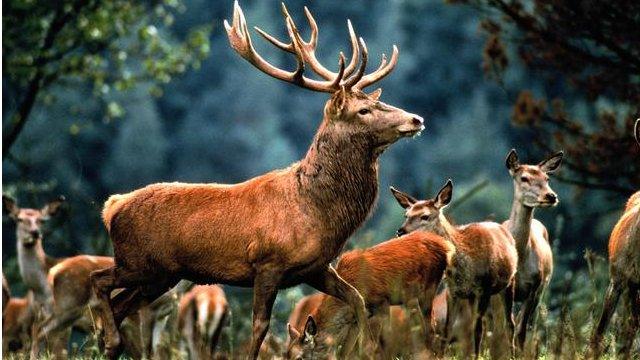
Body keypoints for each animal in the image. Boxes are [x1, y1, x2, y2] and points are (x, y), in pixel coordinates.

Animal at [87, 2, 422, 358]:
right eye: (363, 111)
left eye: (378, 101)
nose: (416, 119)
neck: (317, 210)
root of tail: (112, 206)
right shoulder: (267, 263)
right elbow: (259, 327)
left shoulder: (317, 267)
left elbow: (357, 301)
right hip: (137, 261)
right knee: (98, 280)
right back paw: (110, 338)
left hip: (160, 276)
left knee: (120, 306)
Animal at [390, 180, 520, 358]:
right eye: (406, 215)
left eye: (425, 216)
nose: (400, 232)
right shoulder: (452, 292)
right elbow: (447, 329)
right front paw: (441, 355)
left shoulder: (484, 289)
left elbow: (478, 329)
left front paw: (476, 357)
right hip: (472, 297)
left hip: (509, 282)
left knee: (509, 323)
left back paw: (512, 354)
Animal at [502, 148, 564, 348]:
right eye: (524, 178)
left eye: (547, 178)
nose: (551, 196)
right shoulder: (507, 289)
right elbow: (509, 327)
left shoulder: (535, 286)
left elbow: (521, 330)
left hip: (541, 291)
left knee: (531, 325)